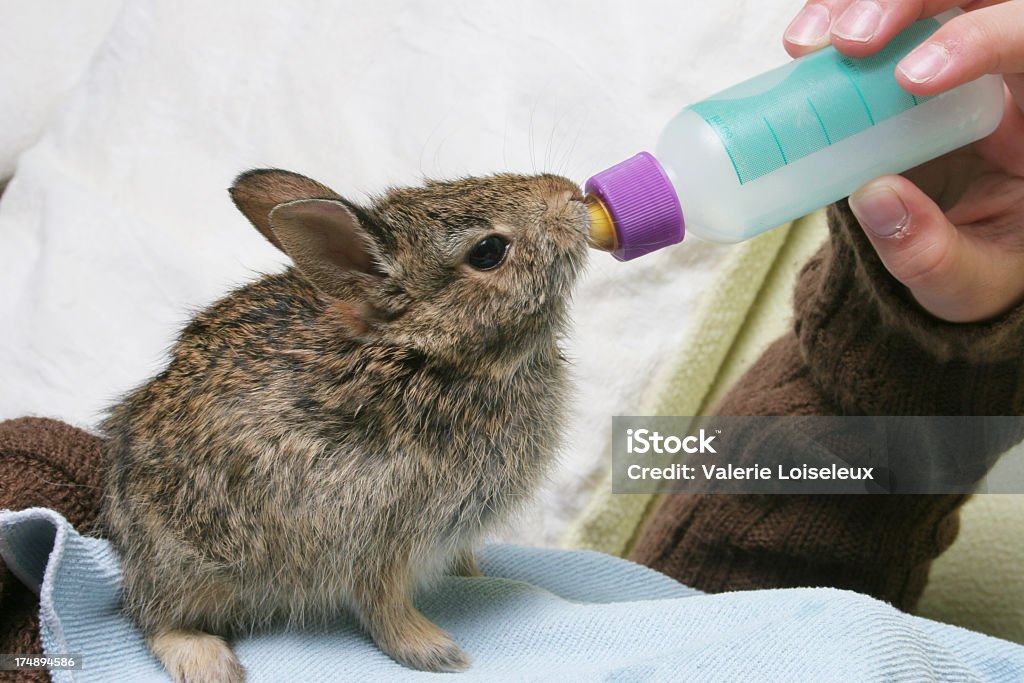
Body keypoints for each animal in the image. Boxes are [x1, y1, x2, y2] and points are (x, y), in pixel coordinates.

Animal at [101, 166, 593, 683]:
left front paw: (474, 579)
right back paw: (209, 662)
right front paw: (434, 651)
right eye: (488, 251)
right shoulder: (374, 533)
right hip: (189, 561)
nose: (569, 194)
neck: (426, 353)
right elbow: (383, 604)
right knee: (152, 617)